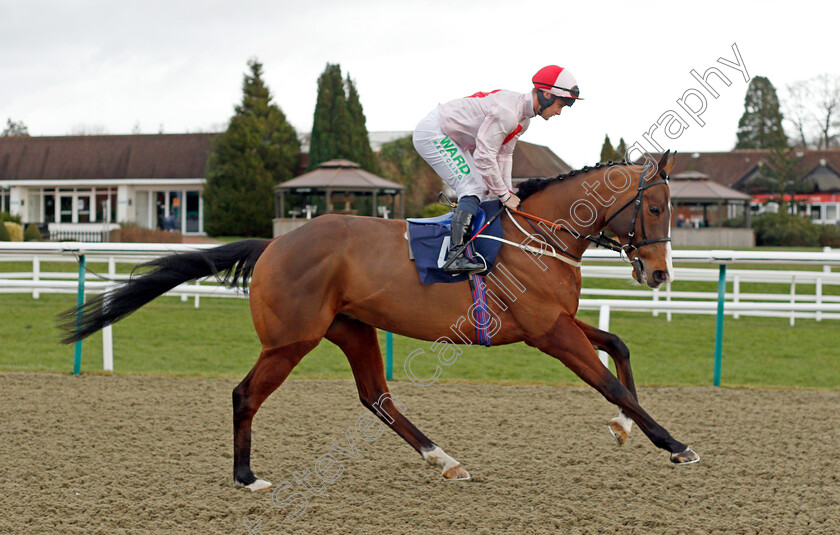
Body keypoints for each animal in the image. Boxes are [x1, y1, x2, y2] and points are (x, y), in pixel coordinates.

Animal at [62, 150, 700, 490]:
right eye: (654, 206)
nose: (659, 273)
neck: (536, 236)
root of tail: (273, 245)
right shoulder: (548, 331)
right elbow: (611, 380)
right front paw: (674, 443)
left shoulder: (555, 323)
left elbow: (618, 346)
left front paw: (626, 428)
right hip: (291, 339)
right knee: (246, 393)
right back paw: (247, 476)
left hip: (352, 328)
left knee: (377, 397)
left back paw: (444, 459)